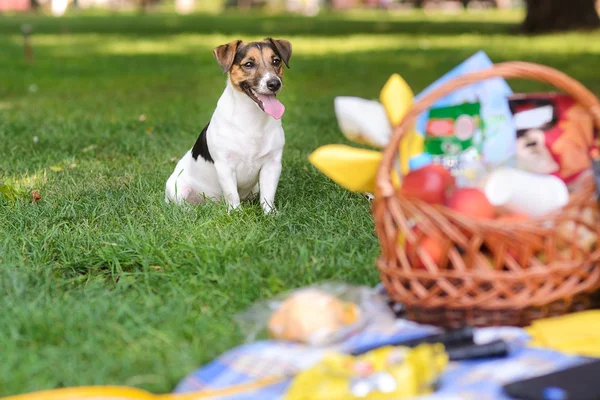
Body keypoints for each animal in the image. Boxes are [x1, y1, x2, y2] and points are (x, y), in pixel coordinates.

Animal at [165, 36, 292, 216]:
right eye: (248, 64)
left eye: (276, 61)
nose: (274, 83)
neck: (252, 118)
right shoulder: (225, 166)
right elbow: (232, 194)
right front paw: (236, 214)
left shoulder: (272, 164)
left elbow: (268, 196)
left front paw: (270, 215)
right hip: (177, 189)